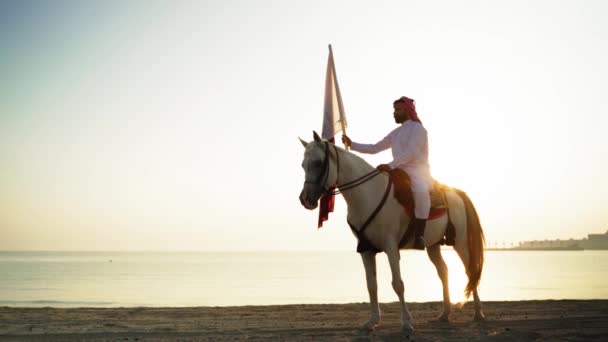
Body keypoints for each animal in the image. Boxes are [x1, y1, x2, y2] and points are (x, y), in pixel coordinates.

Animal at [298, 132, 484, 334]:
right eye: (303, 164)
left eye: (318, 163)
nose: (305, 199)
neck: (368, 194)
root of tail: (457, 193)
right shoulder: (366, 250)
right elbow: (371, 285)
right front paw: (372, 321)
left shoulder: (391, 248)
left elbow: (398, 284)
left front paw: (407, 323)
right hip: (433, 245)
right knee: (443, 272)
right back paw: (445, 314)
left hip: (461, 243)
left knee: (471, 271)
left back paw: (478, 313)